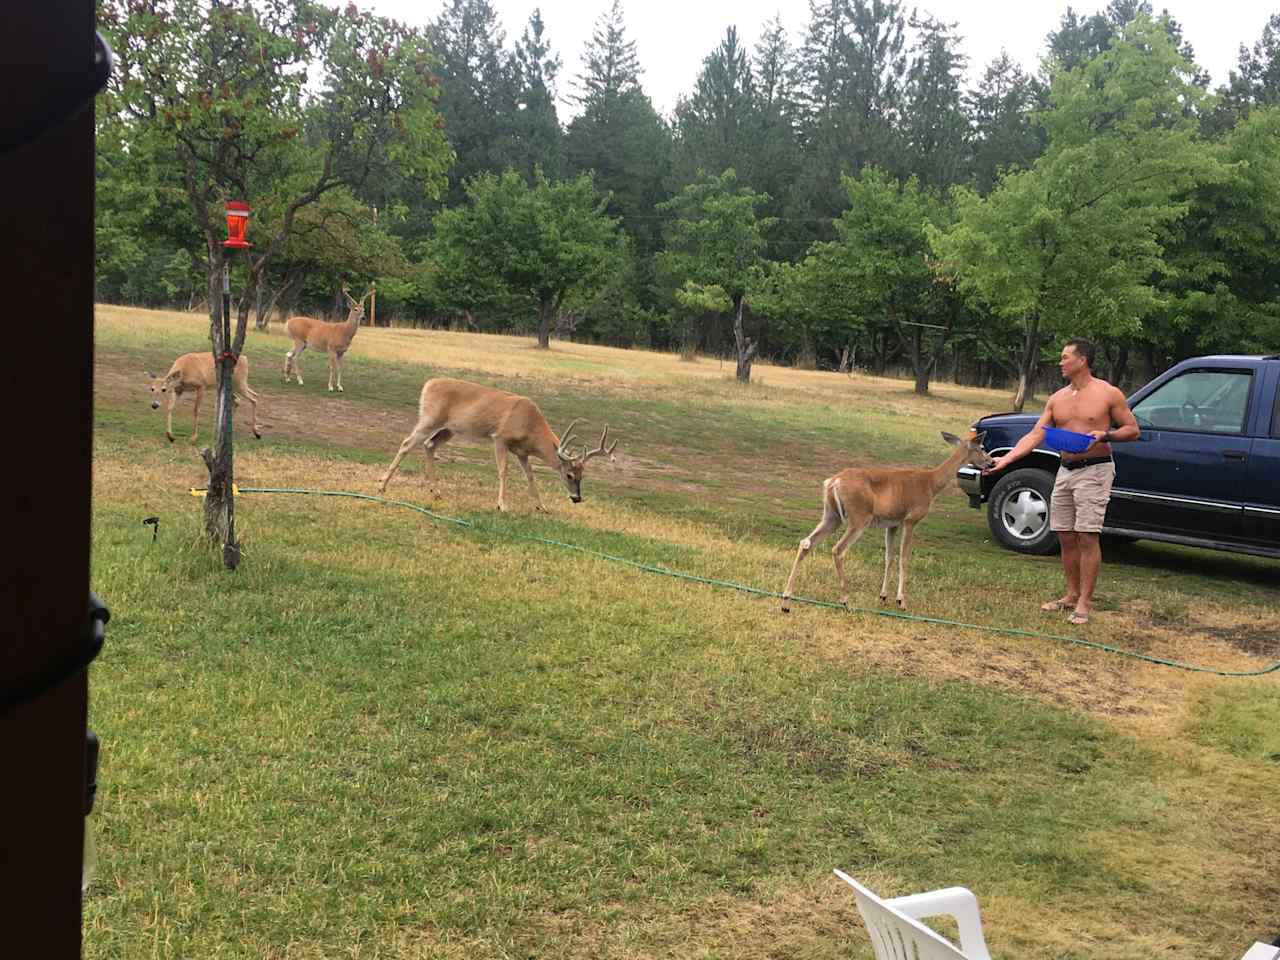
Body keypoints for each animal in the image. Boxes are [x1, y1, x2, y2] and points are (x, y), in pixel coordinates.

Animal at [376, 376, 616, 512]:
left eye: (582, 476)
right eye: (569, 475)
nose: (577, 498)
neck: (531, 425)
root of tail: (427, 384)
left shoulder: (522, 452)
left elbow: (530, 476)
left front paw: (541, 506)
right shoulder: (500, 438)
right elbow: (503, 471)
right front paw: (503, 505)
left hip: (449, 429)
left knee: (429, 445)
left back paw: (436, 492)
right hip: (430, 417)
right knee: (407, 442)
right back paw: (381, 485)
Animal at [773, 432, 993, 611]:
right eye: (982, 448)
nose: (991, 462)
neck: (931, 484)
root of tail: (833, 482)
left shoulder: (892, 523)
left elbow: (889, 557)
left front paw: (883, 596)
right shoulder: (911, 519)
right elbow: (904, 558)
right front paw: (901, 600)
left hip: (831, 515)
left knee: (806, 542)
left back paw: (786, 601)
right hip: (859, 517)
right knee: (838, 549)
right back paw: (846, 600)